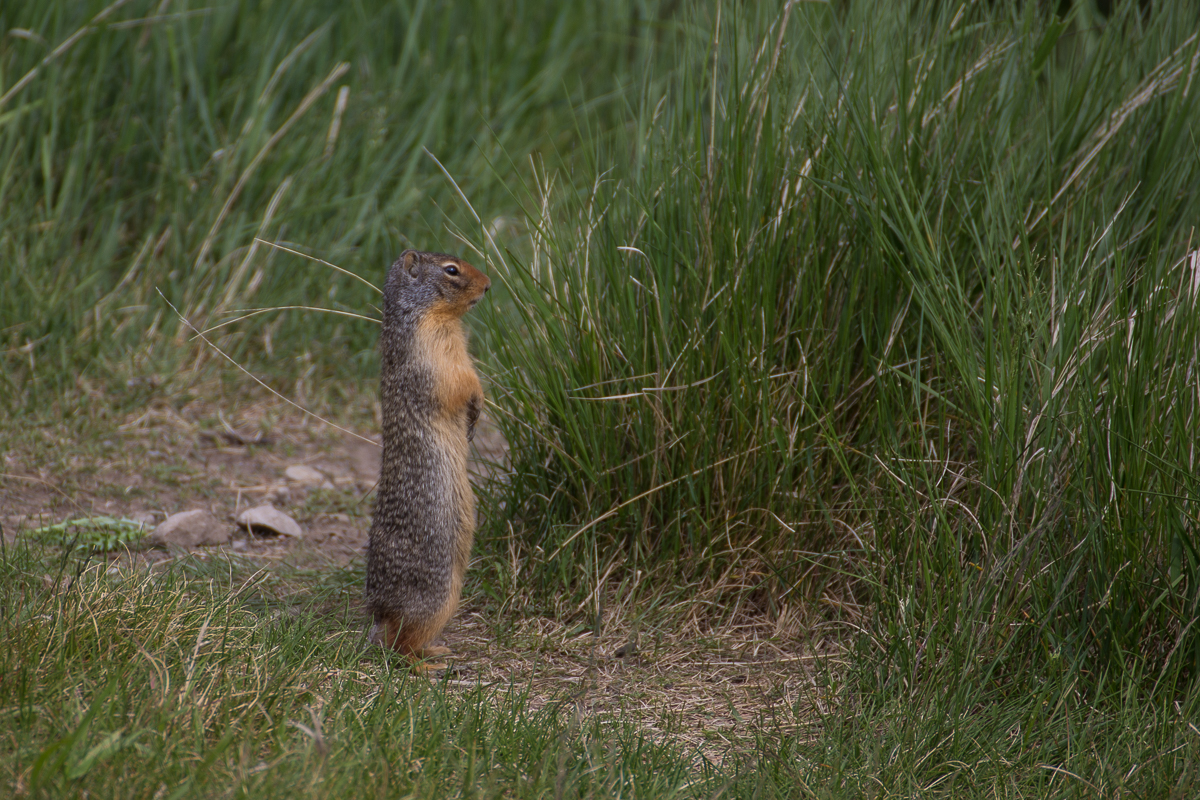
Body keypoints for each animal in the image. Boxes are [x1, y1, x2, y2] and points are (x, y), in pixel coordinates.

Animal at [369, 248, 492, 671]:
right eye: (451, 270)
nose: (489, 284)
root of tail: (380, 614)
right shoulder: (435, 355)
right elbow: (461, 382)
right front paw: (477, 406)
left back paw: (437, 650)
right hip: (438, 596)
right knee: (399, 645)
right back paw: (429, 664)